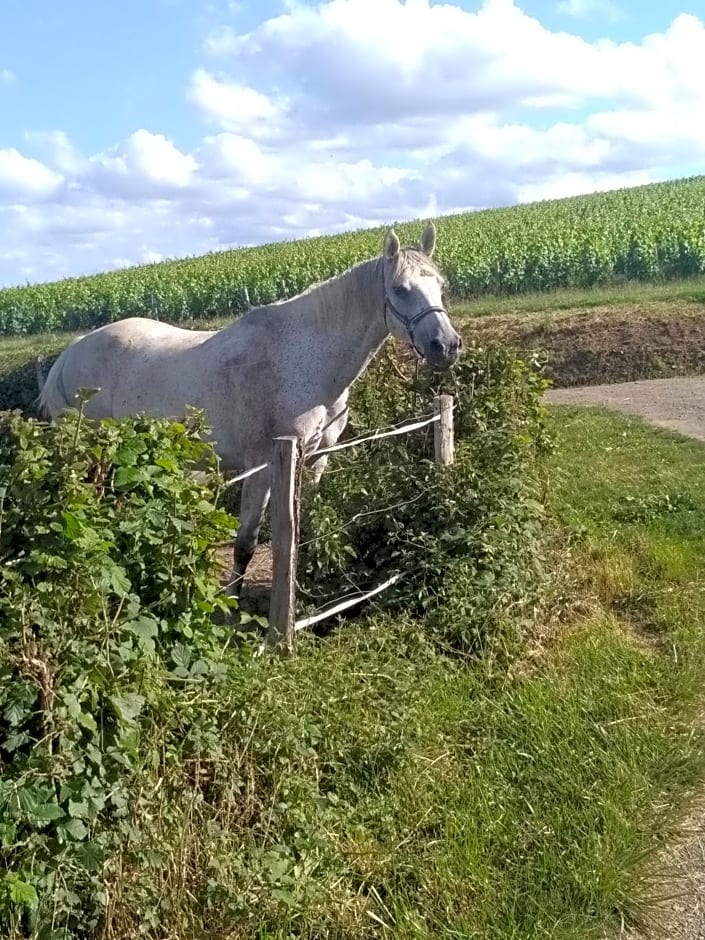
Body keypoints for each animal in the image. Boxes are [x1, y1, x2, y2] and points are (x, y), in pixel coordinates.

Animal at [38, 224, 460, 596]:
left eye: (440, 286)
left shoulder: (316, 459)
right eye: (400, 289)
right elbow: (246, 544)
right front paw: (233, 608)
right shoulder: (263, 465)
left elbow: (303, 529)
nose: (446, 346)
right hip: (86, 451)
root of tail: (70, 353)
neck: (302, 360)